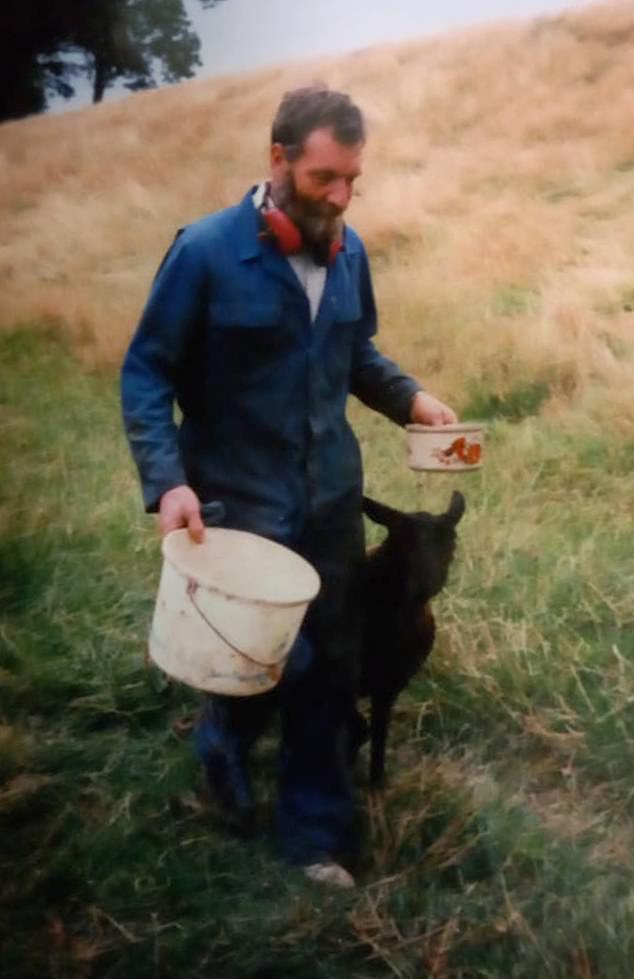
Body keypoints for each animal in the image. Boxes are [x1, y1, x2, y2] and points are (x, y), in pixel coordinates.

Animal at [350, 490, 464, 788]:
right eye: (402, 541)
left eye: (452, 544)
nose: (427, 584)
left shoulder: (391, 685)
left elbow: (377, 735)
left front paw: (377, 785)